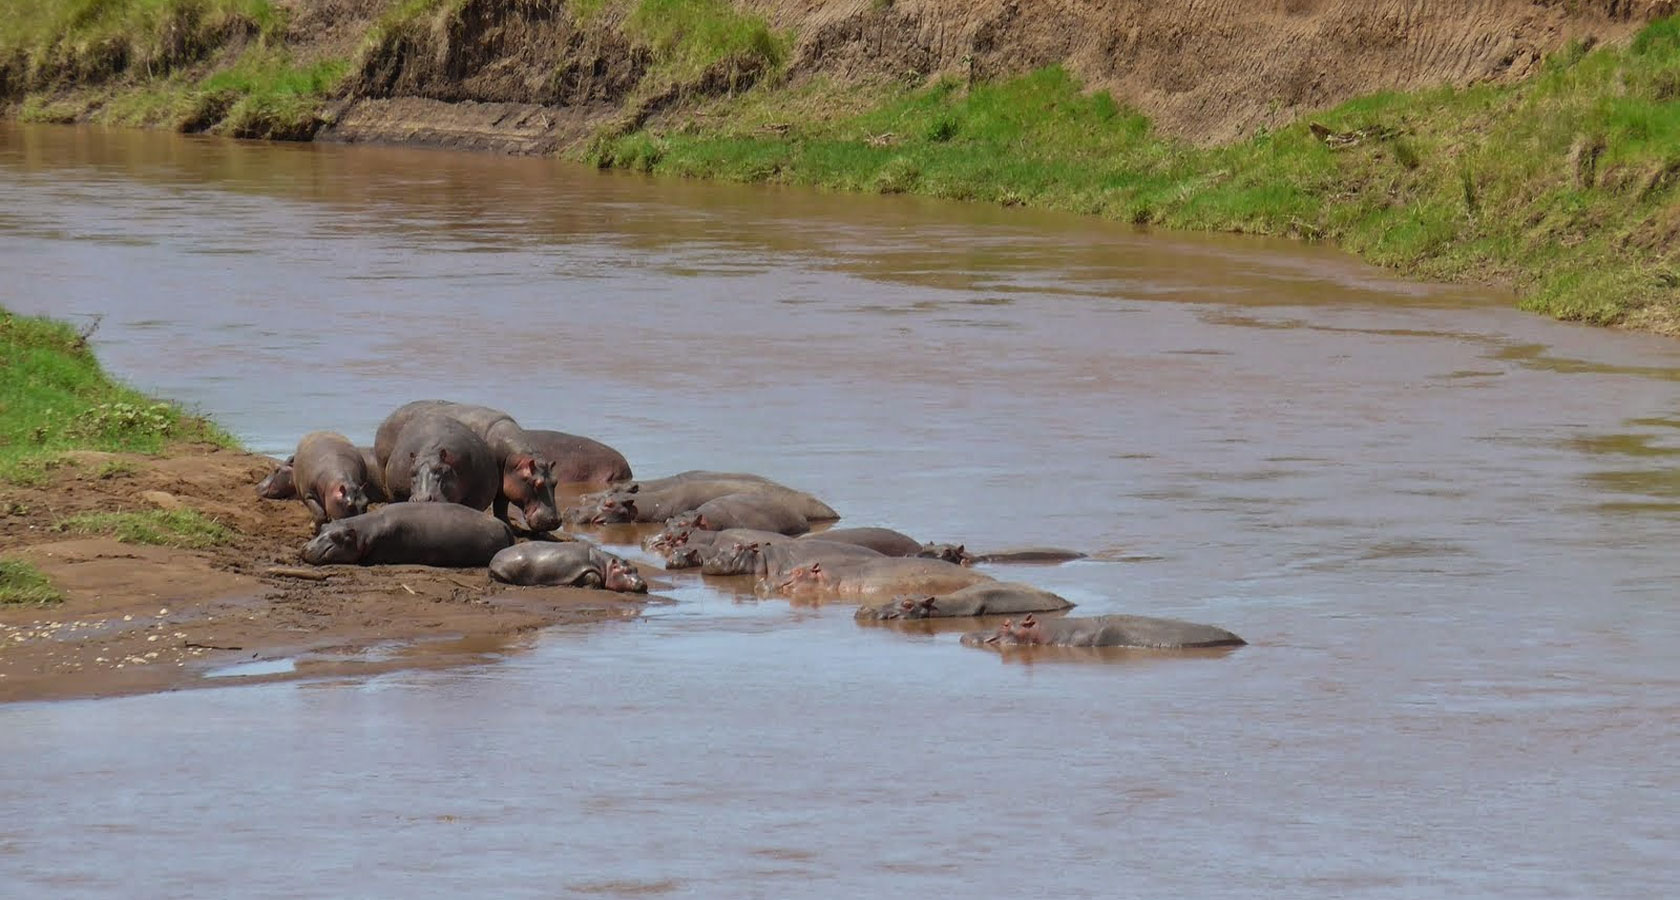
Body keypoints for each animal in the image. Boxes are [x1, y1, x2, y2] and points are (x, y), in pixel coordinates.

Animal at [375, 400, 560, 532]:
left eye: (555, 482)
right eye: (536, 483)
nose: (554, 520)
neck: (514, 460)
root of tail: (389, 417)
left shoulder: (503, 486)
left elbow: (501, 507)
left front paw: (511, 527)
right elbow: (500, 506)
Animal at [488, 543, 648, 592]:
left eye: (636, 569)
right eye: (626, 571)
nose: (644, 583)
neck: (604, 564)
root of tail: (493, 559)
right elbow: (593, 577)